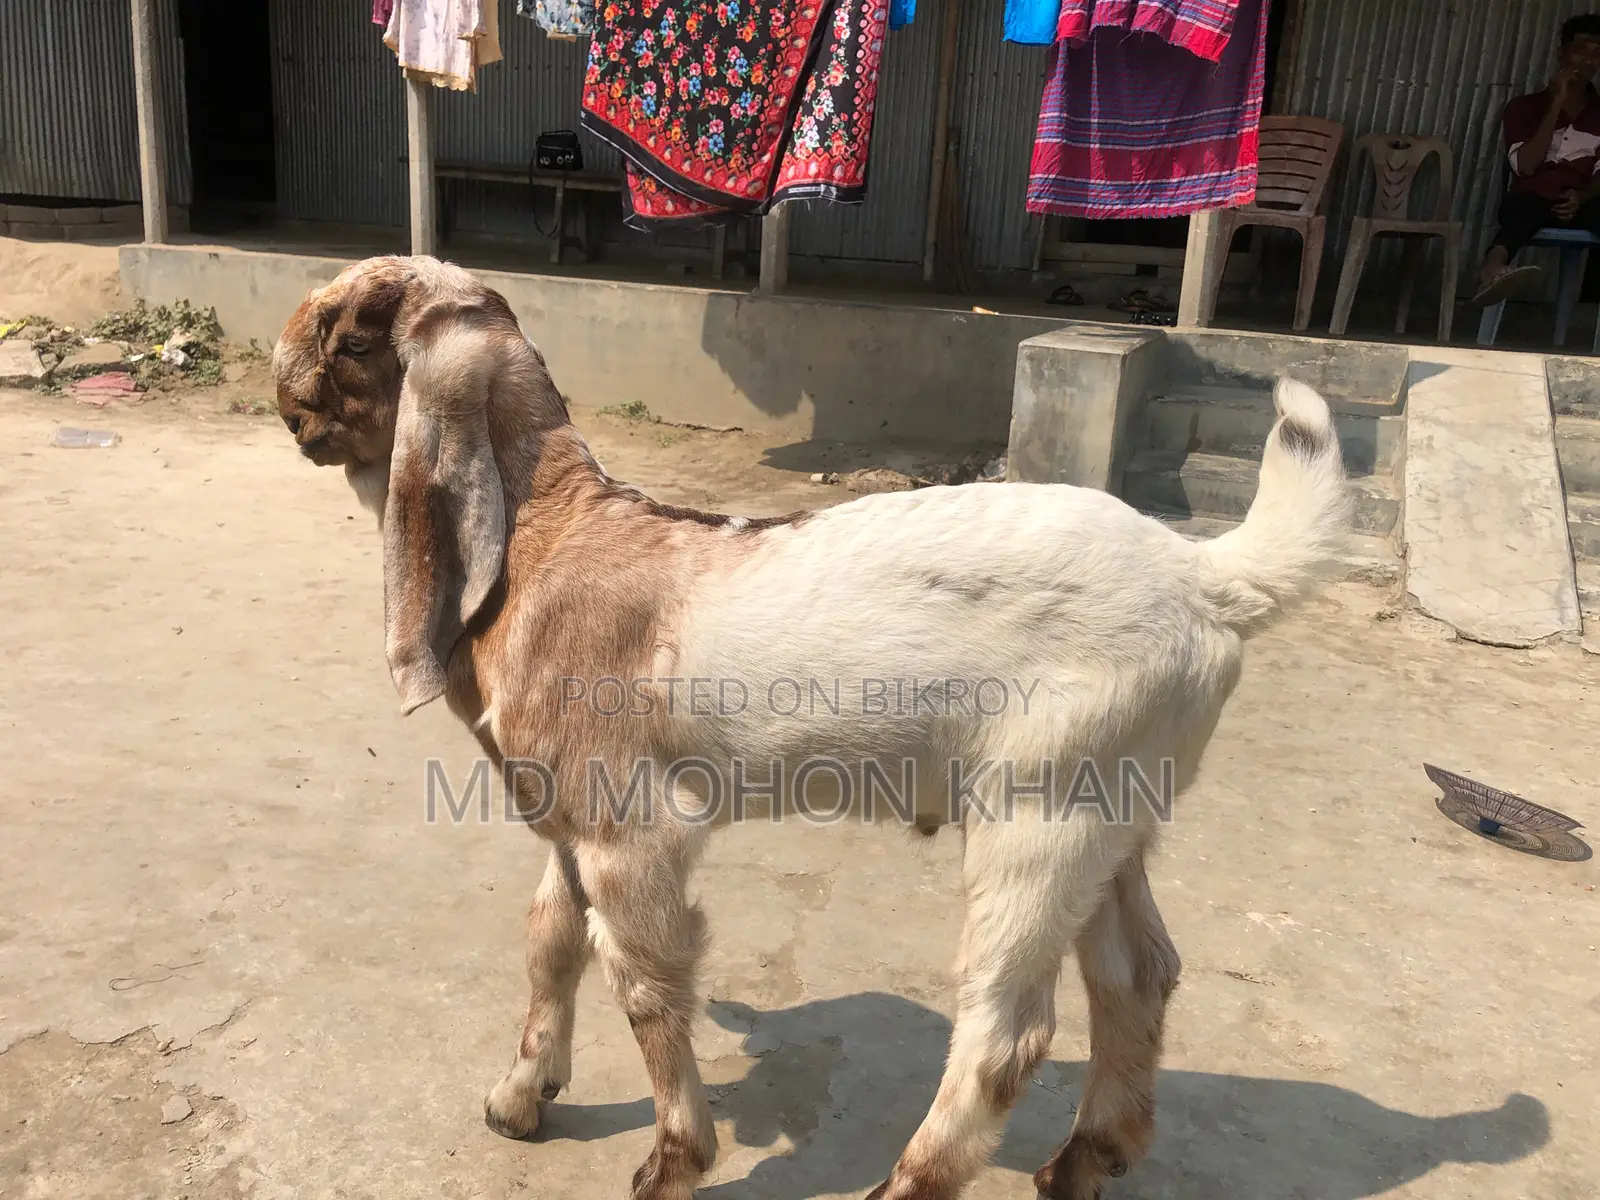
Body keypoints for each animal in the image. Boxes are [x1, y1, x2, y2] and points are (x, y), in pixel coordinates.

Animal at [273, 255, 1350, 1200]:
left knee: (1007, 1029)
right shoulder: (565, 810)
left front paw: (674, 1160)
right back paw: (1087, 1158)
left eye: (353, 335)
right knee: (1138, 975)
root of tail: (1205, 576)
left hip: (1042, 804)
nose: (288, 396)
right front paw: (519, 1097)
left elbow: (645, 981)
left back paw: (911, 1182)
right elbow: (551, 939)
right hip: (1118, 805)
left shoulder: (630, 827)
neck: (553, 538)